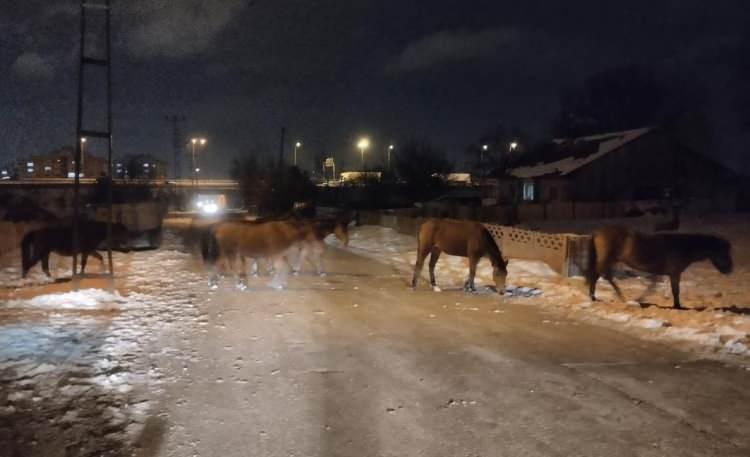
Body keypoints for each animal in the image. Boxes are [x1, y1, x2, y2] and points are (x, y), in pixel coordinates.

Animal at [588, 225, 736, 308]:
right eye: (723, 252)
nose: (729, 269)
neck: (682, 247)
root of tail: (597, 233)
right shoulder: (675, 273)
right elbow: (676, 291)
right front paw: (677, 306)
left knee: (598, 276)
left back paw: (594, 297)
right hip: (608, 259)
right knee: (603, 275)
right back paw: (621, 297)